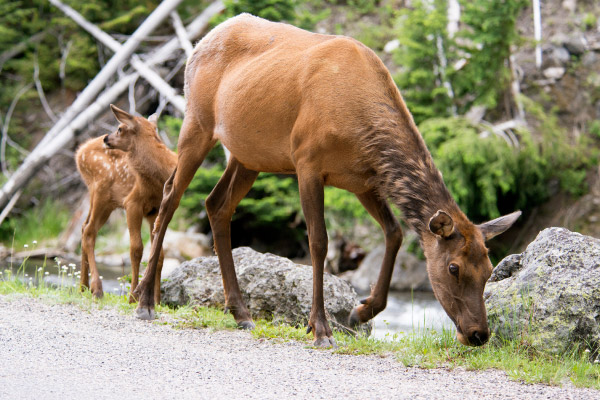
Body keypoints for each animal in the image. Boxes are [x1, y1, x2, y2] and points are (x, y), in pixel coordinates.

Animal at [76, 104, 177, 302]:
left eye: (120, 128)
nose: (106, 138)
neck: (158, 181)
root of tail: (80, 151)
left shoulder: (156, 210)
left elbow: (159, 255)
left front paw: (156, 300)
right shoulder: (133, 203)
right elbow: (136, 249)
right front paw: (133, 297)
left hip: (104, 200)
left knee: (84, 227)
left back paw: (83, 287)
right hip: (101, 192)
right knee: (90, 231)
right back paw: (97, 289)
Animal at [132, 14, 520, 346]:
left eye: (489, 270)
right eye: (454, 268)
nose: (478, 334)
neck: (361, 128)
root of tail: (201, 41)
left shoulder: (364, 181)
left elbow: (394, 232)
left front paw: (361, 311)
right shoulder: (307, 161)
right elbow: (319, 242)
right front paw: (319, 328)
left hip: (249, 155)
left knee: (216, 203)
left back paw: (240, 312)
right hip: (196, 121)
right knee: (170, 196)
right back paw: (145, 301)